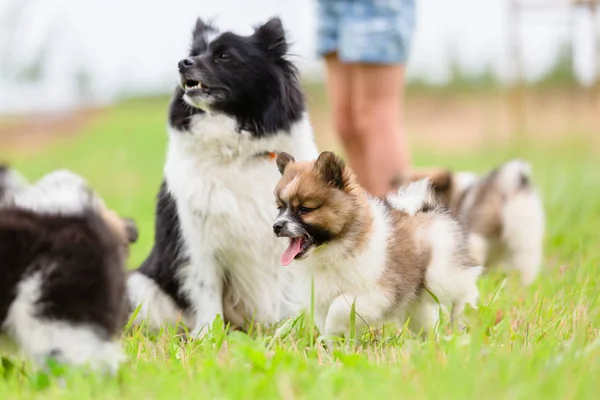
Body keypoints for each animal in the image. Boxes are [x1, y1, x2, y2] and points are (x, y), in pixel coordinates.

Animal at [127, 17, 318, 336]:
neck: (236, 153)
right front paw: (208, 335)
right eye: (193, 53)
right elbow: (206, 291)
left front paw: (288, 329)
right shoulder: (198, 242)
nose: (183, 63)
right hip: (138, 284)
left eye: (224, 56)